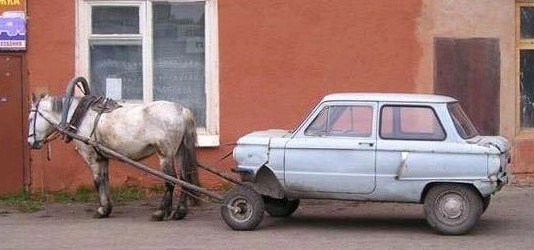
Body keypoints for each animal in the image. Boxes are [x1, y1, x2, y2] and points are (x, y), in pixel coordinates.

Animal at [28, 94, 199, 221]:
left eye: (30, 119)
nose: (30, 142)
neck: (81, 116)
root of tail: (181, 110)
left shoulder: (92, 158)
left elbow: (97, 182)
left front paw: (102, 210)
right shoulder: (102, 158)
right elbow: (105, 180)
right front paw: (107, 209)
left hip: (165, 155)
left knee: (171, 181)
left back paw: (161, 212)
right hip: (178, 152)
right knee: (184, 179)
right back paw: (179, 212)